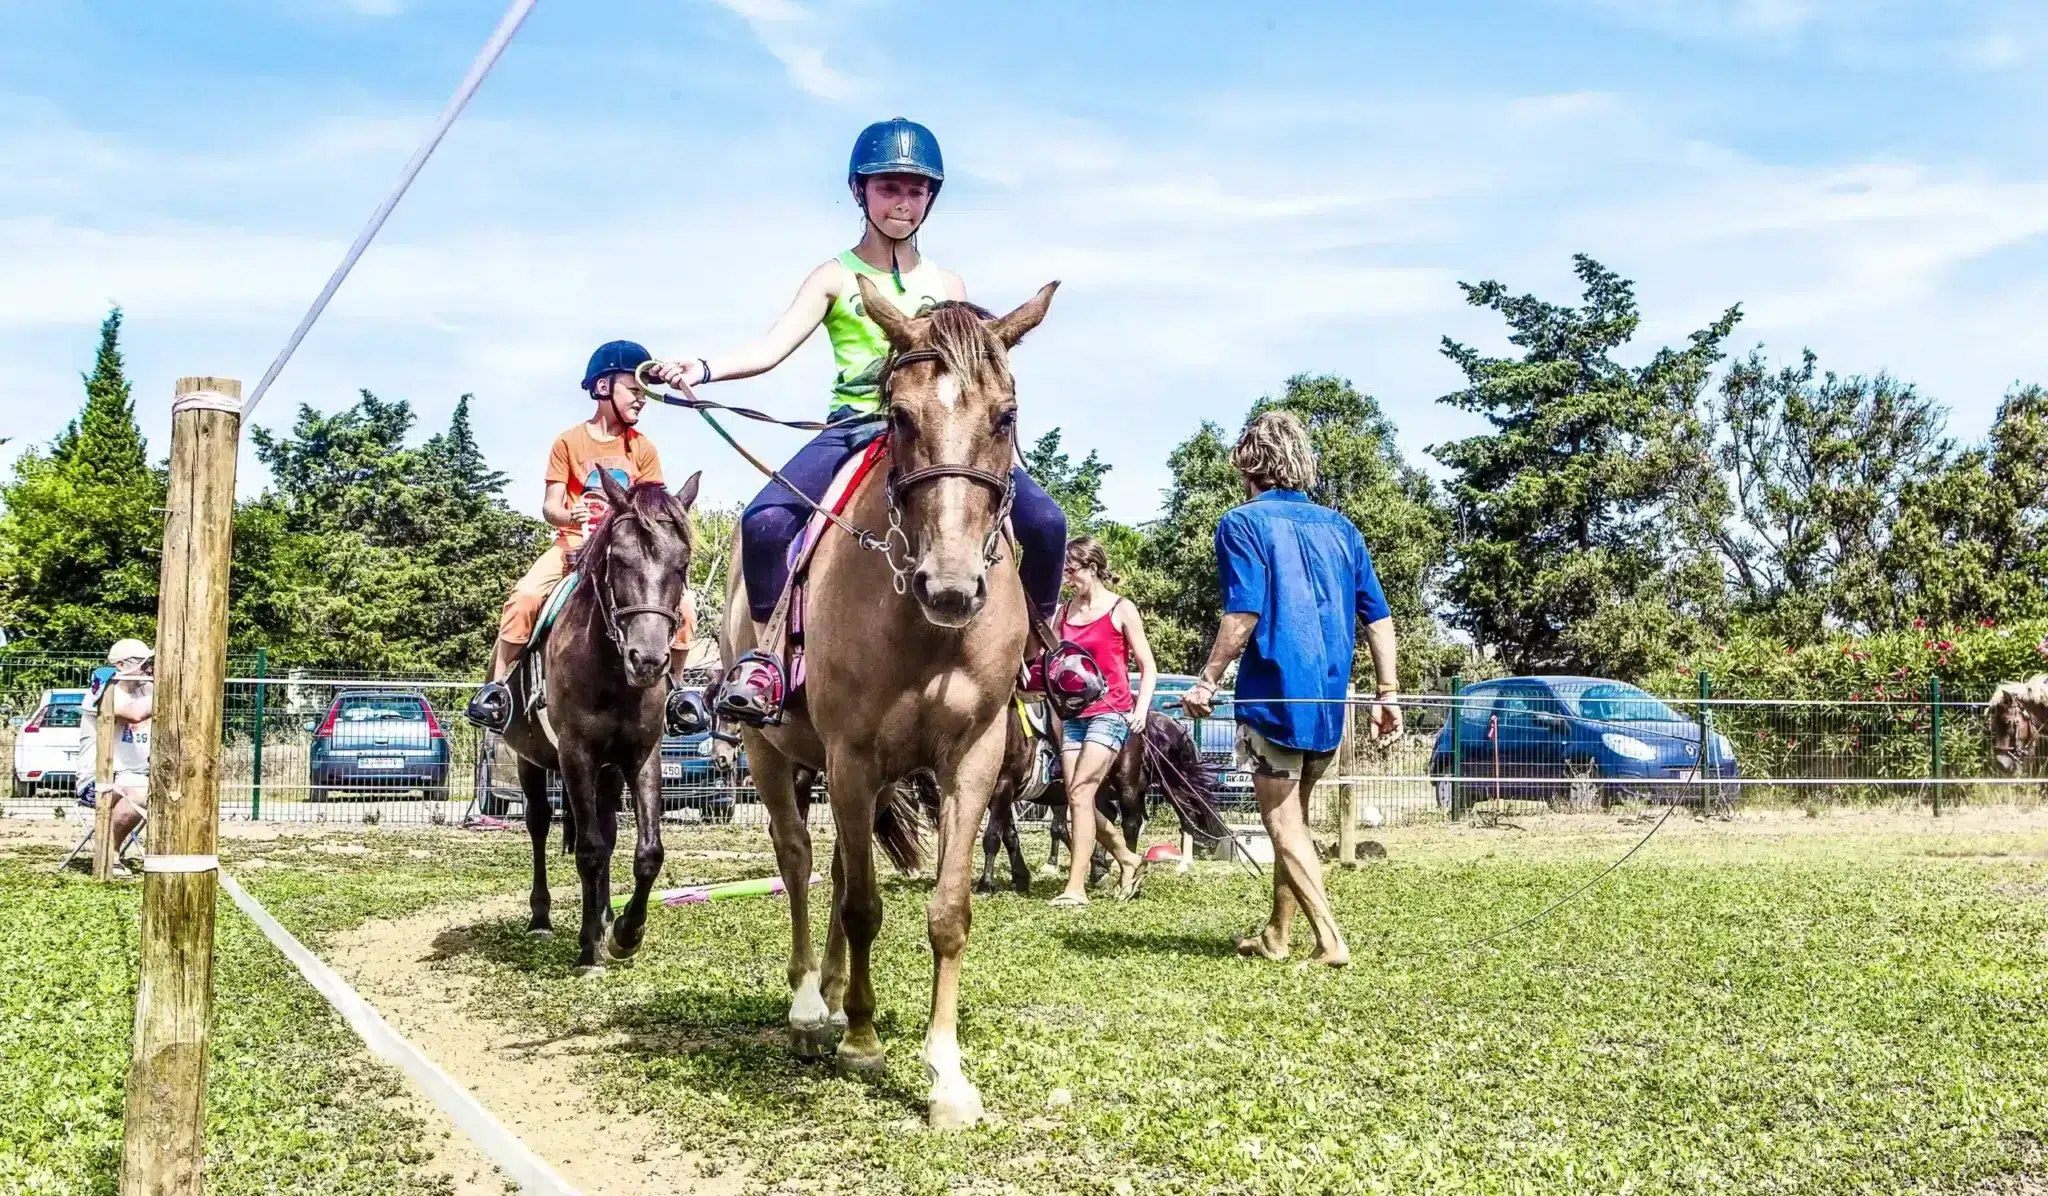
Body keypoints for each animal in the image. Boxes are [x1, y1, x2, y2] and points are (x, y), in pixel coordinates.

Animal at [499, 466, 700, 970]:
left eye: (682, 564)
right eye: (619, 561)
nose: (647, 660)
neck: (610, 673)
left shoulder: (641, 757)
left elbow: (646, 851)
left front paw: (625, 932)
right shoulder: (577, 756)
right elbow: (587, 849)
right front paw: (589, 945)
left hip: (609, 772)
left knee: (607, 833)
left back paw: (607, 914)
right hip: (532, 763)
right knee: (538, 824)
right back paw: (542, 919)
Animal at [720, 276, 1064, 1122]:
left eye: (1006, 415)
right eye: (900, 416)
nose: (952, 586)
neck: (921, 625)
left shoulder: (970, 759)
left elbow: (946, 910)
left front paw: (945, 1075)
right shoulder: (849, 755)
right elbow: (863, 906)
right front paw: (862, 1043)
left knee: (845, 867)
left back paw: (837, 990)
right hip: (774, 754)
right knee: (800, 858)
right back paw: (812, 1007)